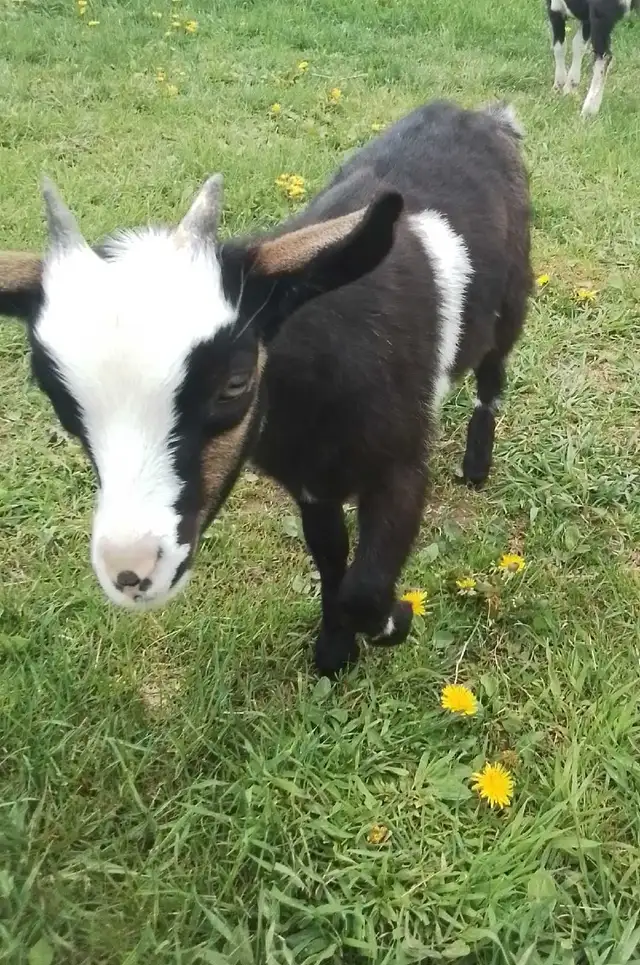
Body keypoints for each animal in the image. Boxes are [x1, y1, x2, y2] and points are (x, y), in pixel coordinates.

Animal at [0, 99, 531, 677]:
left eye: (234, 383)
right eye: (58, 399)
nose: (131, 573)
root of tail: (483, 115)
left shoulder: (401, 467)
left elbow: (364, 588)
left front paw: (396, 619)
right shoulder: (310, 484)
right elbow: (331, 562)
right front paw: (334, 652)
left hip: (511, 301)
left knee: (492, 376)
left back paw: (476, 464)